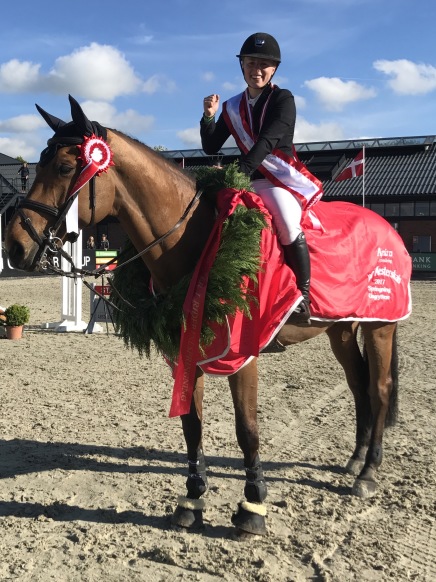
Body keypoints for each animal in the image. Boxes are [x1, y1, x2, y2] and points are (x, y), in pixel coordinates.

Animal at [5, 96, 410, 540]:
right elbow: (192, 426)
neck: (199, 241)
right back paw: (354, 460)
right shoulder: (184, 352)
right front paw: (193, 498)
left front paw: (252, 506)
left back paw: (368, 473)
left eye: (63, 168)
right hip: (341, 328)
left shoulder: (243, 355)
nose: (15, 246)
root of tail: (385, 226)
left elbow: (247, 429)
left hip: (380, 327)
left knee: (379, 388)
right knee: (357, 385)